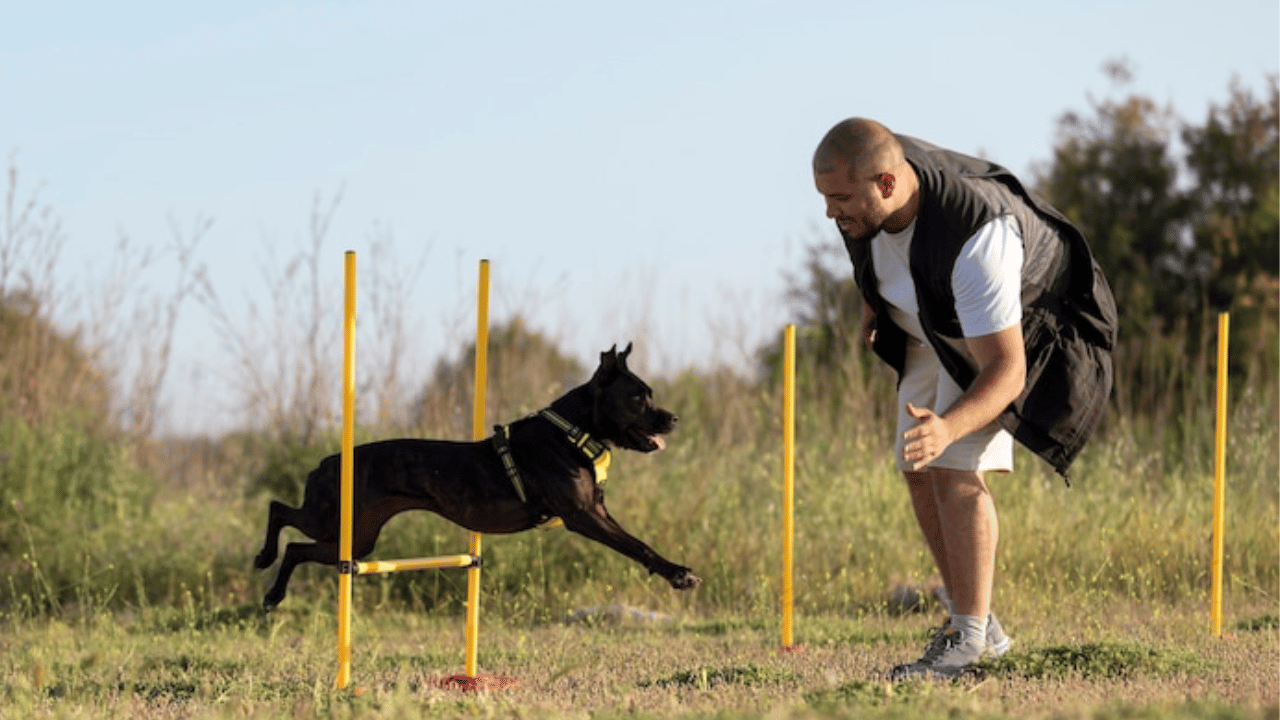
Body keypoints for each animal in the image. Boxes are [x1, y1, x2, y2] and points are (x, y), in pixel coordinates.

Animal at [250, 340, 701, 604]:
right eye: (638, 397)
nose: (675, 418)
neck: (571, 431)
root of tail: (327, 461)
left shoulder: (597, 511)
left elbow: (637, 542)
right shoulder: (583, 516)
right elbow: (637, 544)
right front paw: (679, 574)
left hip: (356, 540)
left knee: (297, 548)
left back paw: (273, 591)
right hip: (332, 518)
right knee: (278, 511)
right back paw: (264, 563)